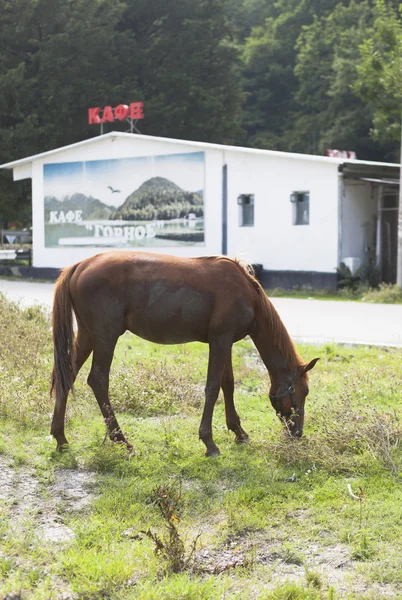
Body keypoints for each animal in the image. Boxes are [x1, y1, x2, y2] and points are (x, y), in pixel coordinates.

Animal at [50, 252, 318, 454]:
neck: (247, 293)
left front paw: (238, 432)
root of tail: (80, 265)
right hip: (106, 337)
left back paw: (60, 437)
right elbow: (212, 387)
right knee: (98, 380)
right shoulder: (220, 341)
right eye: (302, 391)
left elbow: (228, 384)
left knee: (68, 376)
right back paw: (121, 439)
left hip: (87, 336)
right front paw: (209, 442)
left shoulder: (226, 342)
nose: (297, 433)